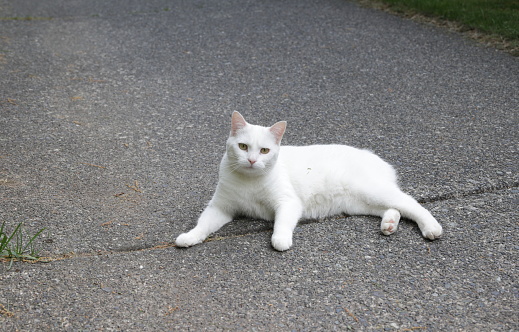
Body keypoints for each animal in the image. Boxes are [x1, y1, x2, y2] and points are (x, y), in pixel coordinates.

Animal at [176, 112, 442, 252]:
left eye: (264, 151)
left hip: (373, 191)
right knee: (394, 209)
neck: (249, 182)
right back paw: (389, 224)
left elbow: (281, 223)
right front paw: (190, 237)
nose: (251, 160)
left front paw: (280, 240)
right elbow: (203, 225)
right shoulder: (220, 208)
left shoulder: (288, 203)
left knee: (412, 204)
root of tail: (379, 159)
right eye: (242, 147)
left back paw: (431, 228)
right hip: (360, 203)